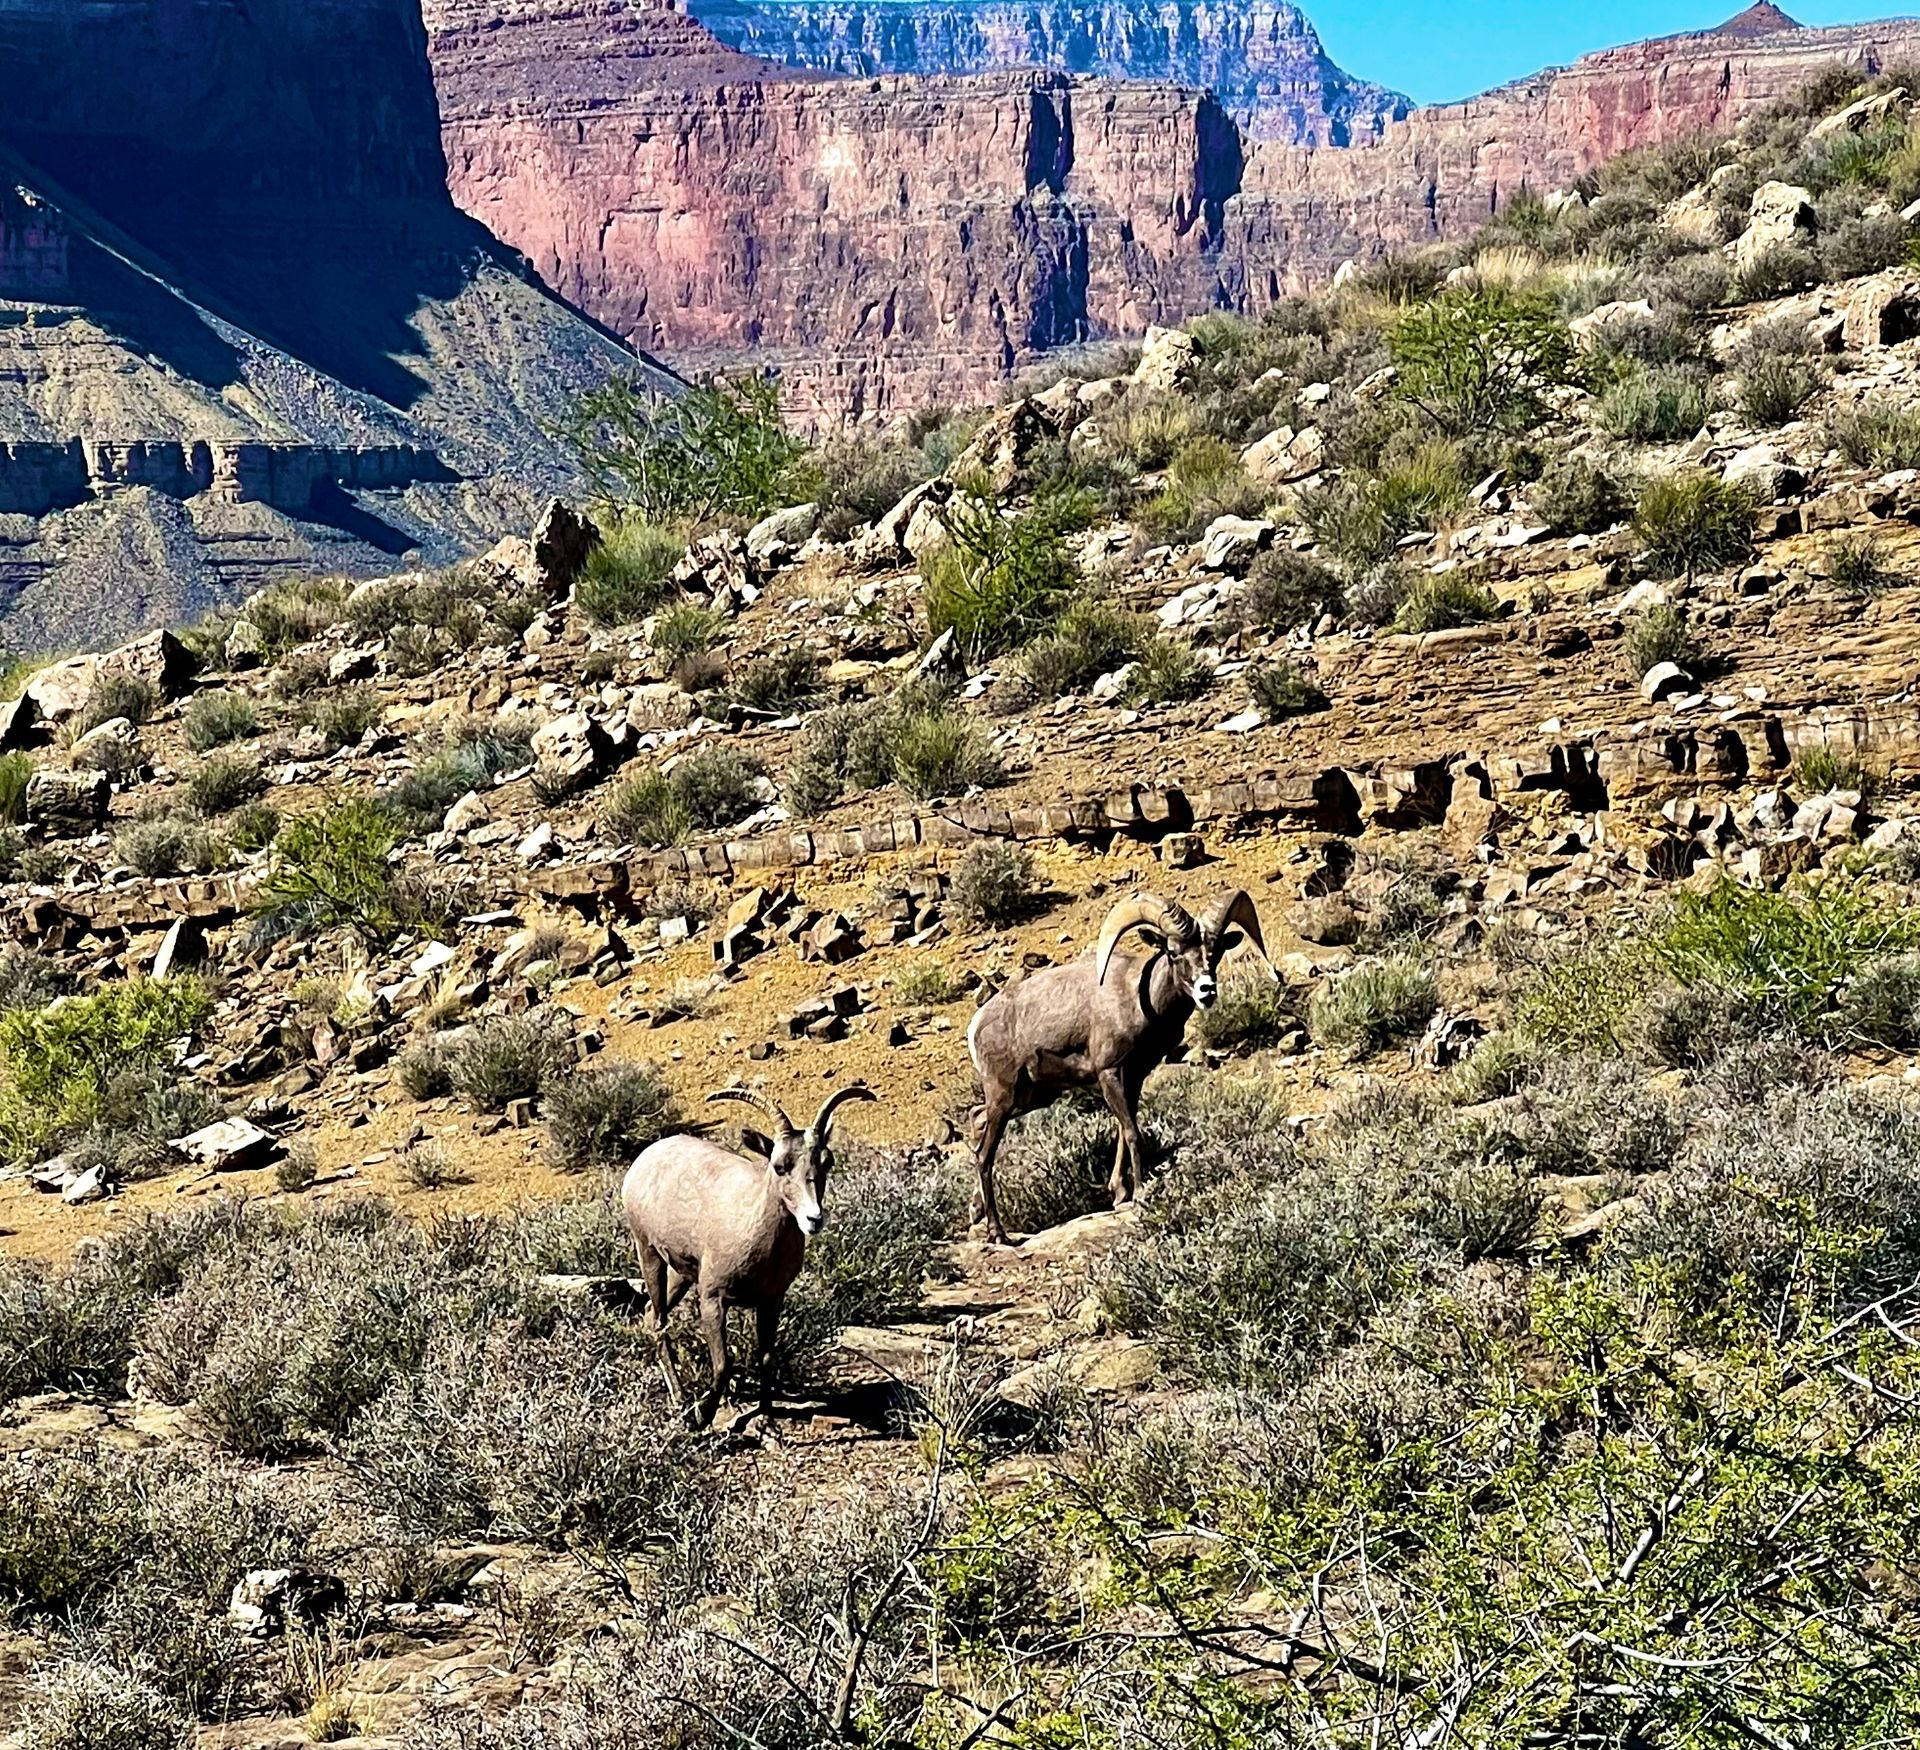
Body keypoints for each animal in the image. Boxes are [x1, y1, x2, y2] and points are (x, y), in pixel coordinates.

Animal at [620, 1082, 875, 1427]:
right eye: (780, 1166)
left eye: (826, 1161)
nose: (813, 1218)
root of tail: (645, 1159)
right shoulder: (713, 1300)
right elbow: (724, 1364)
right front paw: (703, 1417)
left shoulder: (771, 1302)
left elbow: (765, 1356)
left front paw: (766, 1416)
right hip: (648, 1253)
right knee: (659, 1322)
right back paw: (681, 1402)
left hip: (680, 1274)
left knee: (650, 1314)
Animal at [965, 889, 1268, 1244]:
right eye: (1173, 952)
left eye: (1215, 952)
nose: (1207, 990)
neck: (1138, 998)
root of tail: (977, 1024)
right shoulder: (1109, 1074)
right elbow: (1133, 1133)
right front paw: (1140, 1193)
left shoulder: (1134, 1077)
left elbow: (1126, 1129)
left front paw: (1120, 1192)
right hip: (1005, 1096)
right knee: (984, 1155)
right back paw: (997, 1233)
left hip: (1030, 1097)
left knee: (977, 1119)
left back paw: (976, 1212)